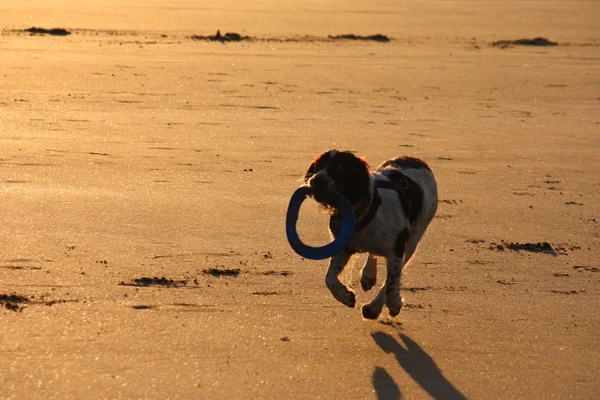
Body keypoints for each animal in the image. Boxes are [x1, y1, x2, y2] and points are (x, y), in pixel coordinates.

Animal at [304, 149, 436, 318]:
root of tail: (416, 159)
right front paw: (346, 296)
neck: (361, 212)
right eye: (318, 165)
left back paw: (373, 308)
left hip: (414, 239)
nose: (316, 180)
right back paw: (368, 276)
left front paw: (392, 304)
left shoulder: (397, 248)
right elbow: (329, 278)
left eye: (340, 168)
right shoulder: (344, 246)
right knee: (372, 254)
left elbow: (391, 283)